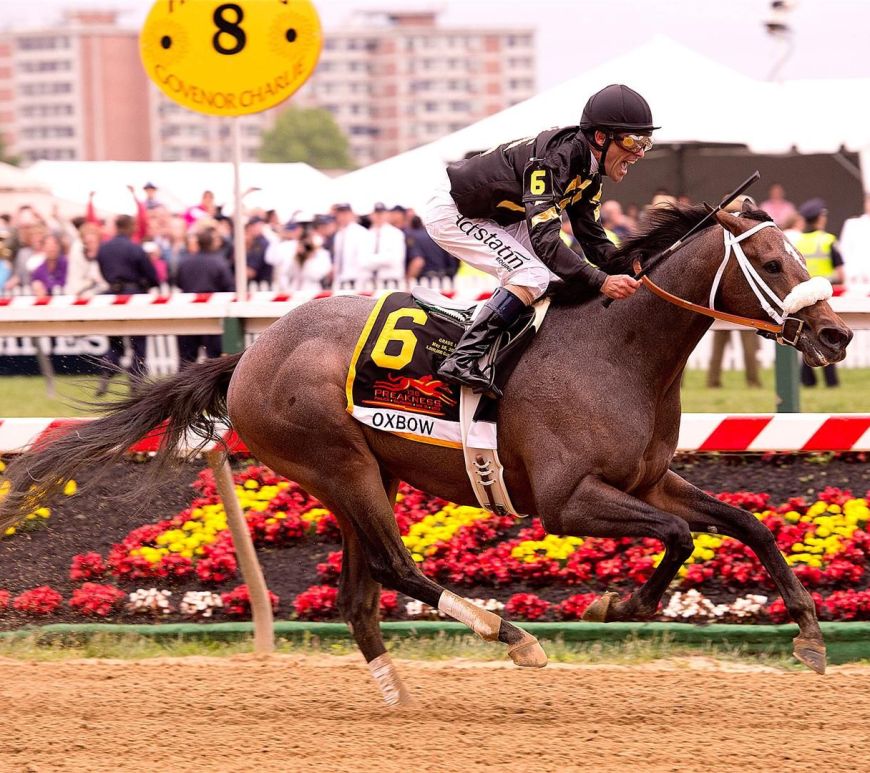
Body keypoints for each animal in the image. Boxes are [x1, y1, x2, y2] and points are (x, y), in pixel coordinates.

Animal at [1, 203, 852, 706]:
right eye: (770, 262)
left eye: (798, 253)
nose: (838, 334)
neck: (618, 350)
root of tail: (248, 355)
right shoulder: (566, 501)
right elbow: (679, 537)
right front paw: (619, 605)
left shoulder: (651, 478)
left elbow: (746, 523)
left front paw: (810, 635)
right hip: (337, 464)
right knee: (396, 567)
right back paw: (511, 636)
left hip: (354, 476)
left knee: (359, 593)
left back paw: (398, 693)